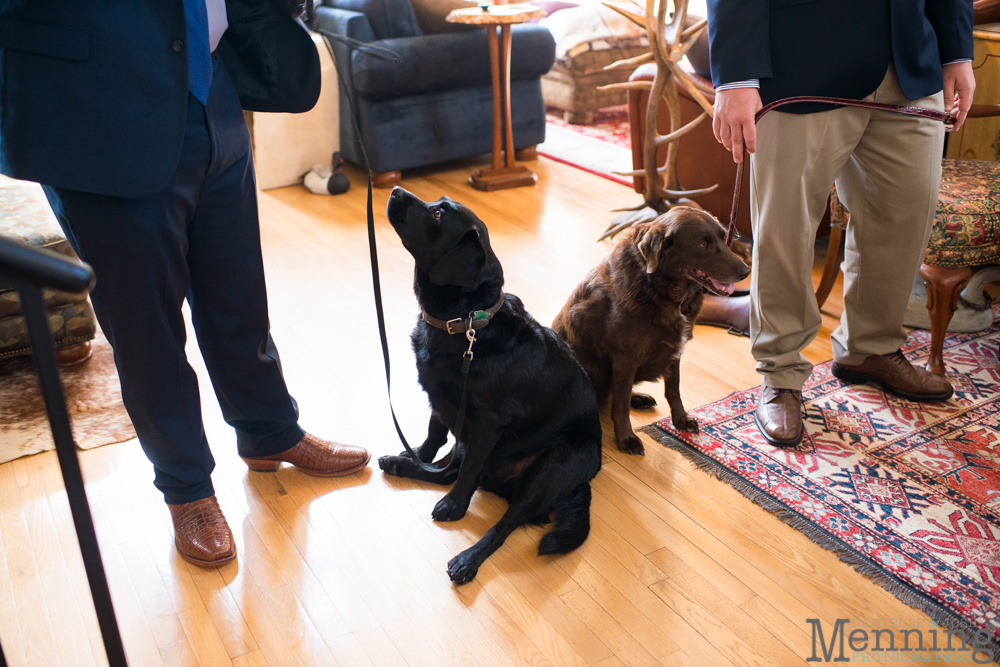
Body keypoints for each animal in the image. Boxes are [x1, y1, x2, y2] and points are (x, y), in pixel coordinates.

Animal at [378, 188, 600, 584]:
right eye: (437, 203)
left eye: (438, 214)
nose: (394, 191)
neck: (463, 324)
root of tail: (581, 484)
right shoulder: (442, 398)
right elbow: (434, 436)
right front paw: (413, 455)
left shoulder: (486, 423)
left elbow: (466, 475)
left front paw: (454, 506)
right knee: (449, 471)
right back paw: (400, 466)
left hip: (552, 467)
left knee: (504, 523)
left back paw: (467, 560)